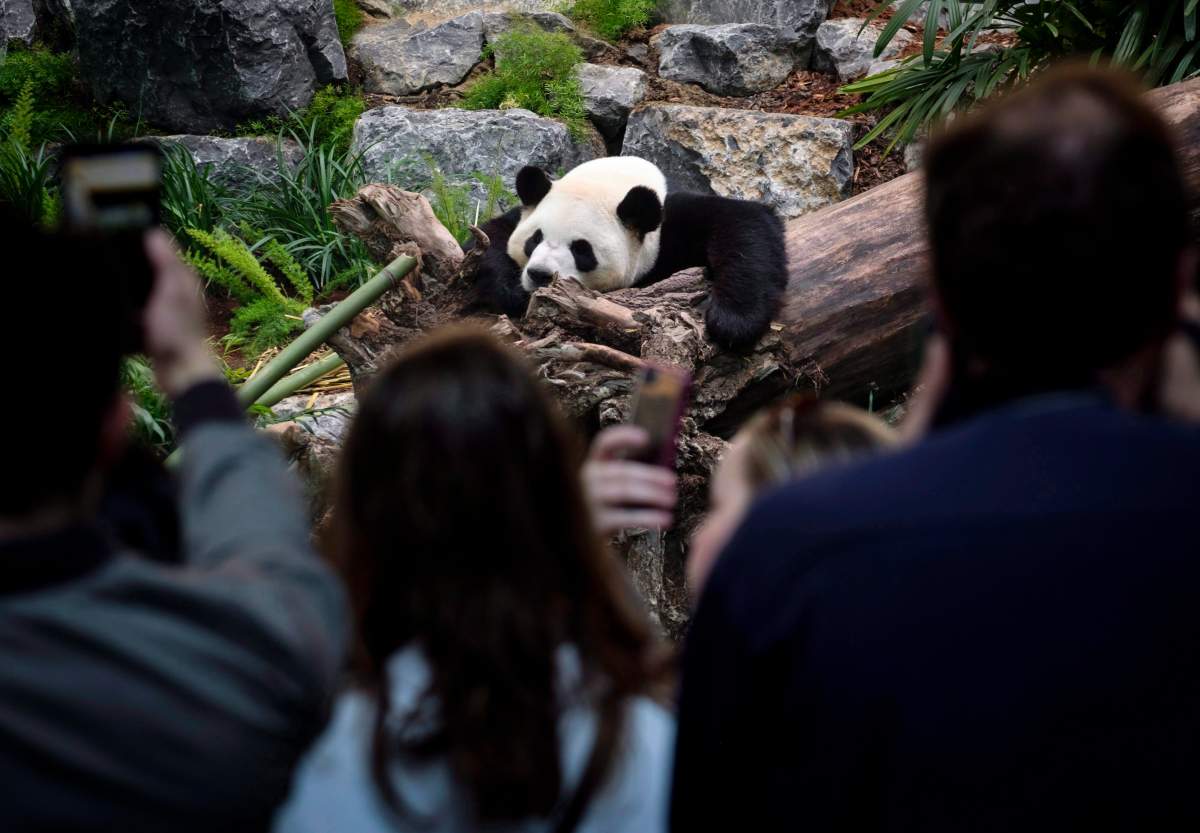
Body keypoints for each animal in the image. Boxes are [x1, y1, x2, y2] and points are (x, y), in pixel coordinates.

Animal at [472, 156, 788, 351]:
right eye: (534, 239)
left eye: (581, 250)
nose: (540, 275)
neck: (615, 182)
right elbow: (491, 236)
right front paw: (512, 291)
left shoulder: (670, 222)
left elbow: (743, 223)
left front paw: (733, 322)